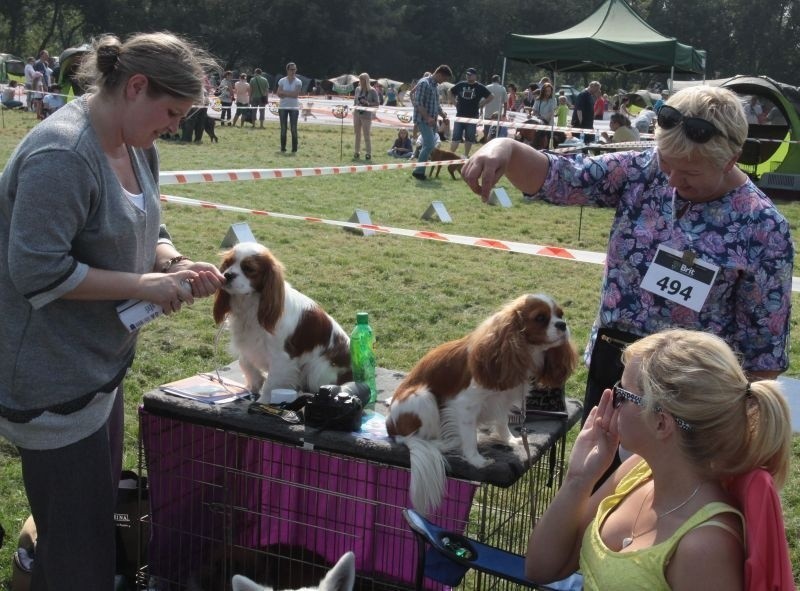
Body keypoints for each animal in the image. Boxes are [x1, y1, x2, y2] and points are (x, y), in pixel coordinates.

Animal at [212, 242, 354, 402]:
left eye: (249, 269)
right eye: (227, 264)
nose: (227, 275)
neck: (252, 304)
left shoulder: (281, 357)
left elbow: (270, 383)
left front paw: (262, 401)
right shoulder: (248, 344)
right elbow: (245, 362)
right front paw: (254, 384)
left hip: (317, 370)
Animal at [386, 294, 576, 516]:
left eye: (560, 315)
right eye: (540, 318)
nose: (563, 325)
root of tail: (390, 426)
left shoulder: (502, 400)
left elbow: (502, 423)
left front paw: (510, 441)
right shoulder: (466, 405)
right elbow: (469, 437)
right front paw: (476, 460)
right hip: (423, 397)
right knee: (412, 438)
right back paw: (443, 443)